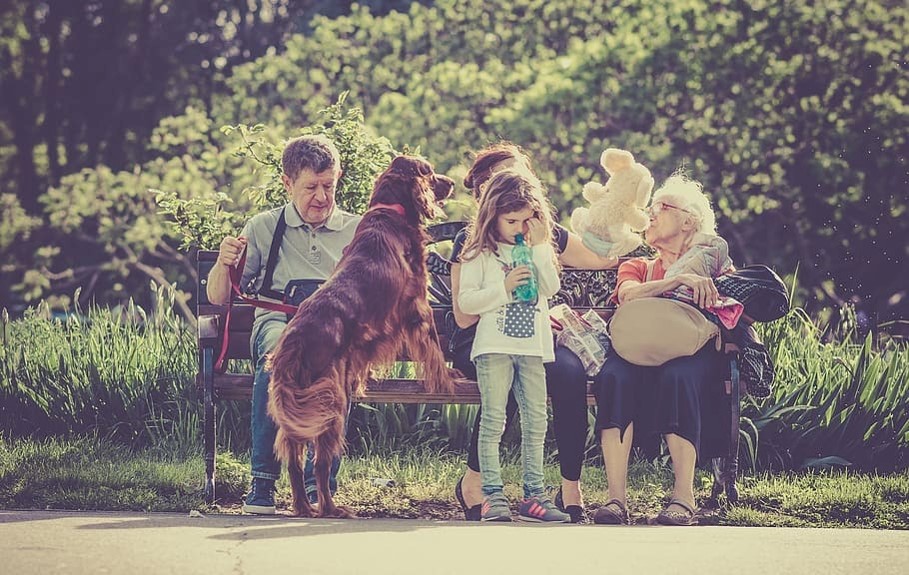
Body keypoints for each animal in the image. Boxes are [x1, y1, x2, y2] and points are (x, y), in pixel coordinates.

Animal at [266, 154, 458, 516]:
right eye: (428, 171)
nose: (452, 182)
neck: (390, 211)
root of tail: (294, 342)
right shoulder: (417, 305)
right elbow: (434, 347)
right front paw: (448, 379)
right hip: (330, 403)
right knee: (321, 463)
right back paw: (330, 508)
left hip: (303, 407)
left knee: (295, 460)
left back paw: (303, 506)